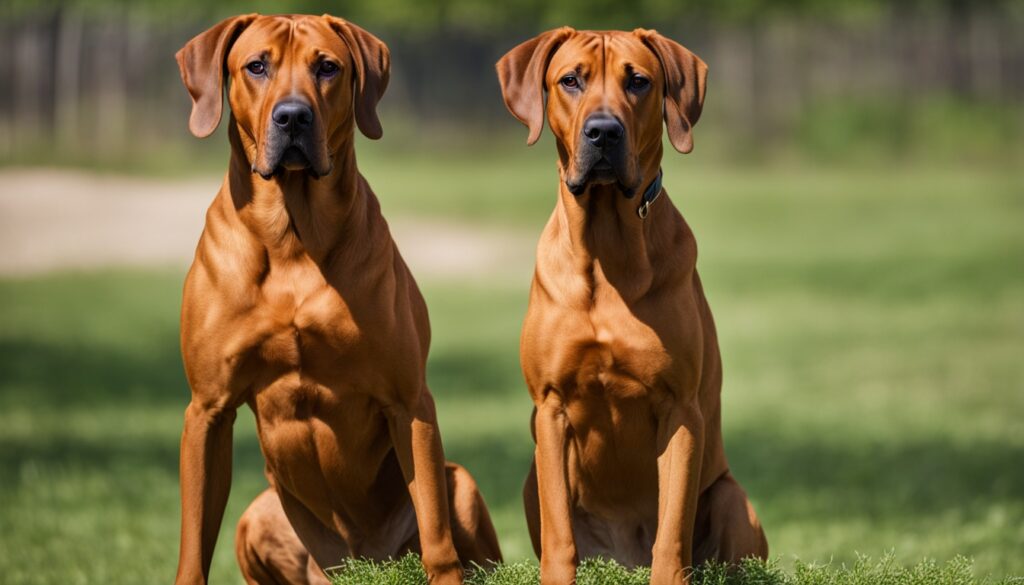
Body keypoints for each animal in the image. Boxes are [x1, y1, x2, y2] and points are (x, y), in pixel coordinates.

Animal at [174, 13, 501, 585]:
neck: (292, 237)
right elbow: (194, 548)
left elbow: (437, 538)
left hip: (459, 483)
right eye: (256, 66)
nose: (292, 117)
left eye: (327, 67)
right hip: (258, 515)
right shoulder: (208, 410)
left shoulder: (408, 401)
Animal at [495, 28, 770, 585]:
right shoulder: (551, 407)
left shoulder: (681, 409)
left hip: (731, 498)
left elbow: (672, 528)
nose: (603, 133)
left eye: (638, 81)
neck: (607, 251)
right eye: (570, 80)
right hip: (530, 479)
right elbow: (560, 535)